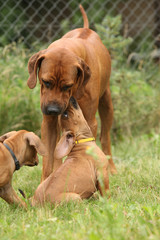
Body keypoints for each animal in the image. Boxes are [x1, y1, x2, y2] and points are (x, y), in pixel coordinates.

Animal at [26, 4, 115, 180]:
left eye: (68, 86)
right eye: (46, 82)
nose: (53, 110)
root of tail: (85, 28)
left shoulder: (89, 121)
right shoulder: (48, 122)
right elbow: (49, 158)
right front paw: (46, 181)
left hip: (107, 104)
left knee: (105, 138)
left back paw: (112, 168)